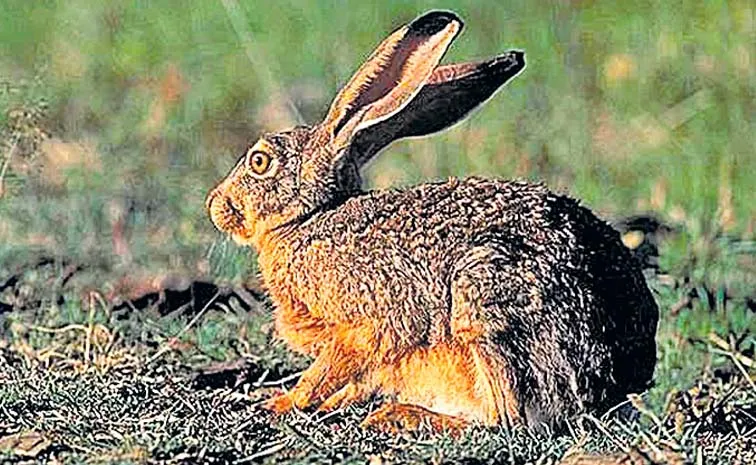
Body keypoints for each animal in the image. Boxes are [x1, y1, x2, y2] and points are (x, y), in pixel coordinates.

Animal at [206, 10, 658, 432]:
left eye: (259, 162)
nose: (214, 205)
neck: (311, 217)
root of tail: (614, 382)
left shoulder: (366, 324)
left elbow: (329, 369)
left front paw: (282, 403)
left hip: (485, 304)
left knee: (506, 418)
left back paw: (400, 416)